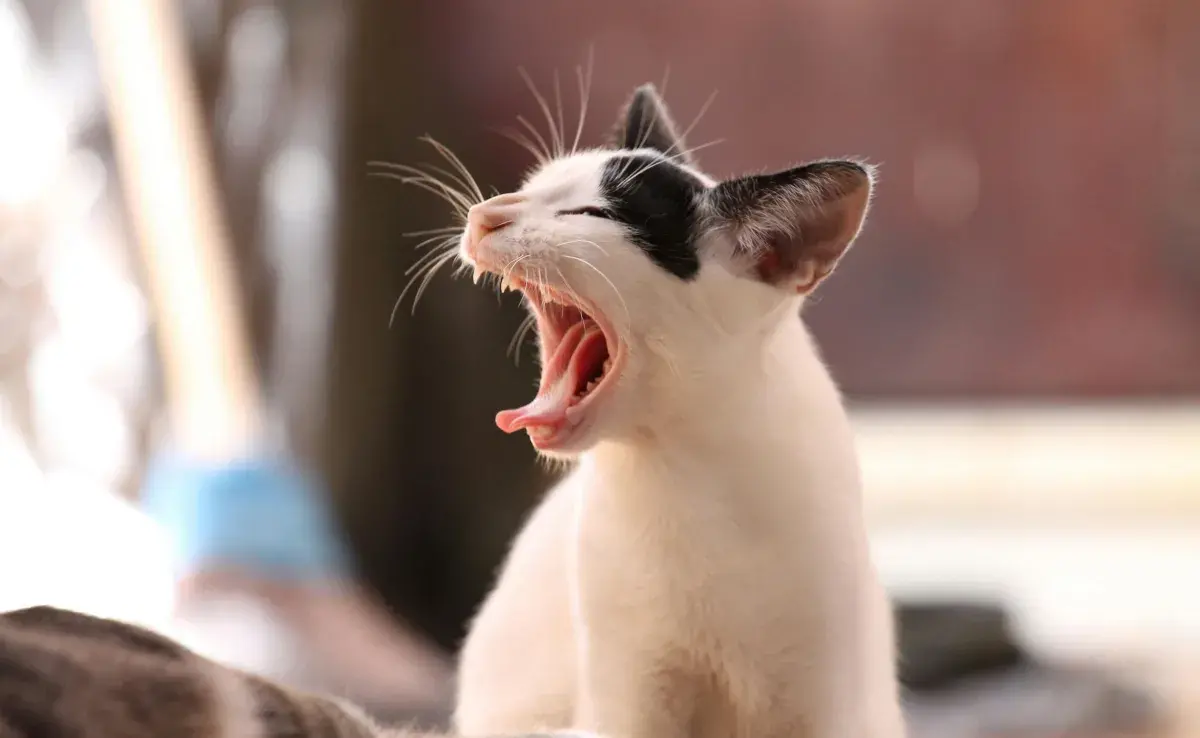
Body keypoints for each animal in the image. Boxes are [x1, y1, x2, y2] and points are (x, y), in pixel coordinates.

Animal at [453, 81, 902, 738]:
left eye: (589, 215)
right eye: (533, 185)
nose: (485, 214)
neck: (677, 472)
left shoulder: (830, 697)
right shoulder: (629, 693)